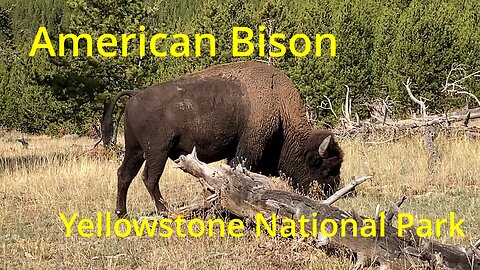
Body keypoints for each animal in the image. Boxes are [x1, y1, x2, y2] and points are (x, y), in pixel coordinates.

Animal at [101, 61, 344, 217]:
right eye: (326, 168)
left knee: (124, 175)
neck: (279, 110)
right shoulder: (248, 148)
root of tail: (135, 95)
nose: (332, 191)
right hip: (157, 151)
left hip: (135, 150)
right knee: (150, 178)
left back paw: (121, 213)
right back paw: (165, 211)